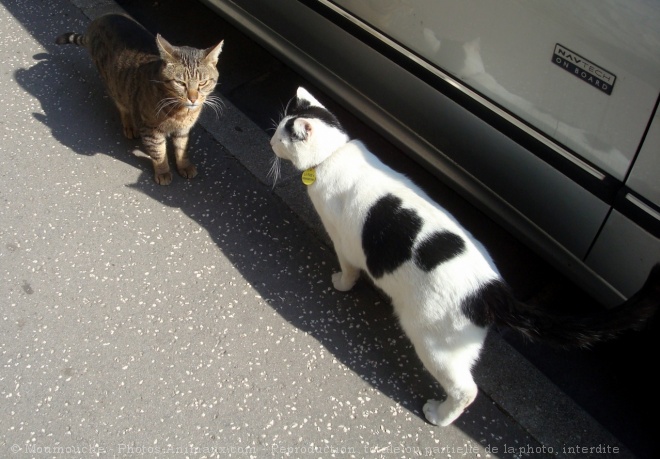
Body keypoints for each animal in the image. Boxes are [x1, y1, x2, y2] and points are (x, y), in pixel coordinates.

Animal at [56, 13, 224, 184]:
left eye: (202, 83)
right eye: (180, 83)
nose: (193, 98)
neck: (180, 112)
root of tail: (99, 19)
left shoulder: (183, 130)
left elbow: (182, 149)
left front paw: (184, 166)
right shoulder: (151, 130)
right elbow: (159, 153)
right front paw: (163, 172)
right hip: (113, 85)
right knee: (122, 106)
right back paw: (130, 126)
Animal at [268, 85, 660, 428]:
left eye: (280, 136)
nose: (271, 141)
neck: (333, 155)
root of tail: (493, 290)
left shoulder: (343, 242)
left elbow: (349, 269)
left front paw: (341, 283)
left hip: (433, 343)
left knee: (466, 390)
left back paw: (438, 415)